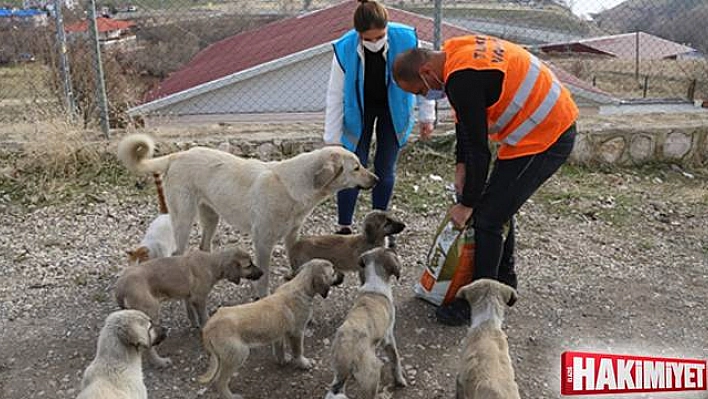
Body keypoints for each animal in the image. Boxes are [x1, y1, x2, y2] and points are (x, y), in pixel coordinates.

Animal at [115, 250, 262, 368]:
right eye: (249, 265)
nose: (263, 273)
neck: (212, 263)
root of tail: (120, 288)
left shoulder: (189, 297)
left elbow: (191, 312)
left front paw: (195, 324)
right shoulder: (200, 299)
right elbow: (205, 317)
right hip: (151, 311)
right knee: (149, 346)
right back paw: (159, 362)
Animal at [119, 134, 378, 300]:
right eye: (356, 168)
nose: (376, 179)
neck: (294, 185)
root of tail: (179, 155)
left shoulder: (292, 237)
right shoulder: (263, 241)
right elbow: (263, 276)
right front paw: (262, 296)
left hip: (211, 217)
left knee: (204, 247)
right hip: (183, 219)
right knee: (177, 252)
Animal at [199, 260, 340, 399]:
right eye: (333, 272)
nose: (343, 275)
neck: (300, 286)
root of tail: (208, 328)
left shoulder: (280, 332)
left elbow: (279, 348)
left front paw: (282, 360)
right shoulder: (297, 332)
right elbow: (298, 350)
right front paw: (303, 363)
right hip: (238, 354)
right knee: (220, 382)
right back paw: (231, 396)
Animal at [324, 248, 404, 398]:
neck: (374, 283)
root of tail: (347, 352)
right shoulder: (389, 338)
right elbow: (395, 361)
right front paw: (400, 381)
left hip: (337, 376)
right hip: (372, 376)